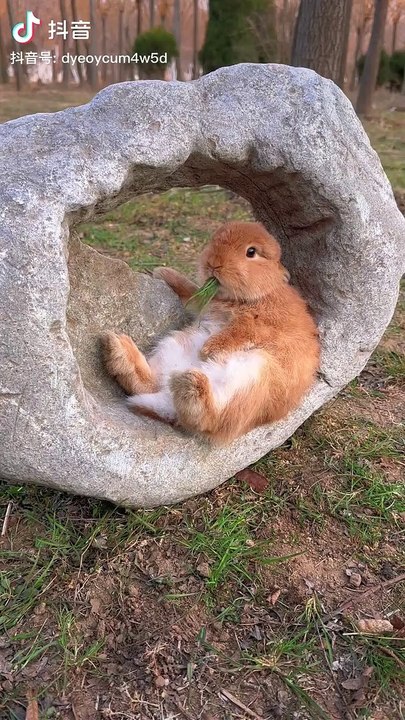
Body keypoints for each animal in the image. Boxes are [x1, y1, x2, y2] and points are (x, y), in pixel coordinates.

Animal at [102, 221, 320, 445]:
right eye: (214, 240)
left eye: (251, 252)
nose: (213, 263)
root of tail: (168, 403)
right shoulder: (203, 303)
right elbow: (189, 292)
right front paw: (162, 272)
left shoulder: (261, 323)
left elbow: (240, 331)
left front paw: (210, 350)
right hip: (175, 345)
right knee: (150, 384)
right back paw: (118, 349)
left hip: (251, 376)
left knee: (212, 420)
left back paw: (191, 384)